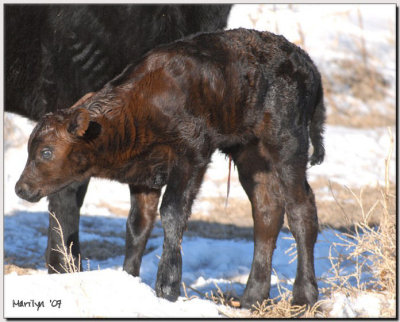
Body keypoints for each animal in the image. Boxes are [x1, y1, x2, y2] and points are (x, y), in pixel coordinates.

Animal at [15, 28, 326, 308]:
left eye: (46, 151)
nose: (21, 188)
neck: (139, 106)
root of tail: (309, 65)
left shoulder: (191, 158)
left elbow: (172, 213)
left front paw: (166, 288)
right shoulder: (144, 177)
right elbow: (138, 225)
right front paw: (129, 279)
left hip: (287, 147)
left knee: (301, 209)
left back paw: (303, 298)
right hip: (250, 155)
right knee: (266, 212)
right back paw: (252, 298)